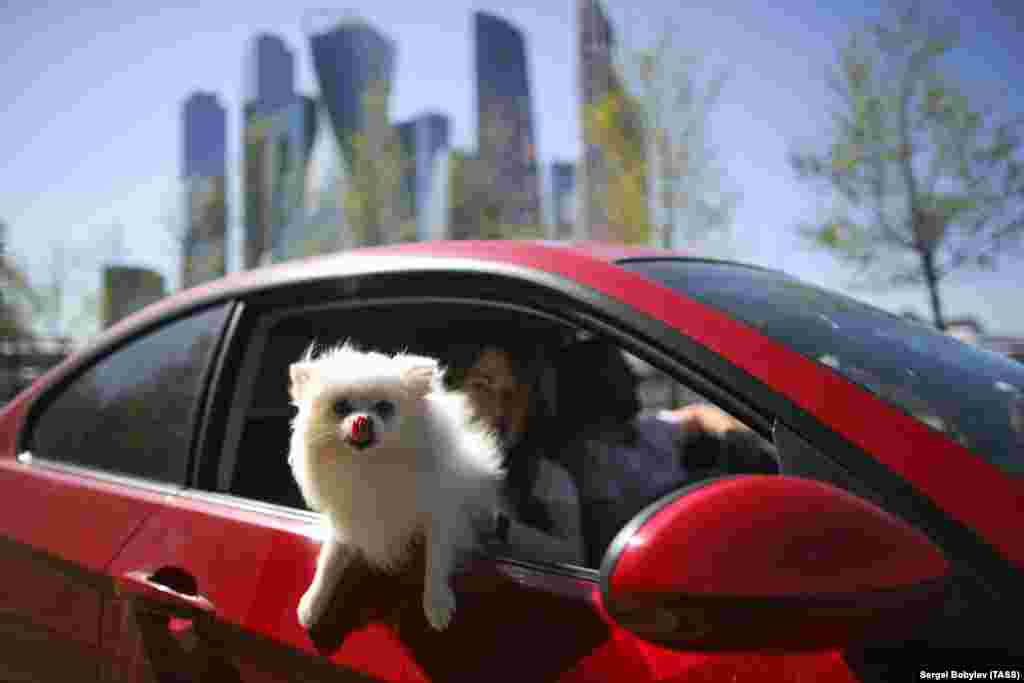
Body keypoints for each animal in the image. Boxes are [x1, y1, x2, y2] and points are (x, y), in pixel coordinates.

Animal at [288, 344, 503, 634]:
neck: (369, 466)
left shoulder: (438, 516)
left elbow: (436, 560)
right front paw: (312, 603)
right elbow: (329, 561)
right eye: (340, 407)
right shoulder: (345, 523)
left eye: (384, 407)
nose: (362, 420)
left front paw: (436, 603)